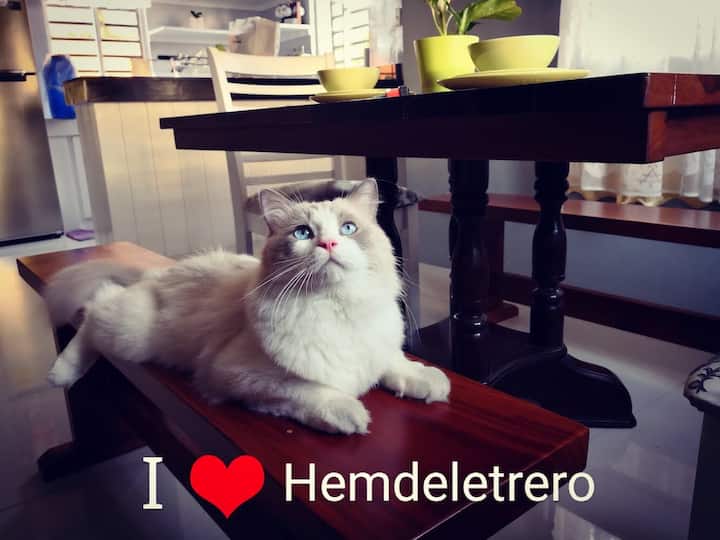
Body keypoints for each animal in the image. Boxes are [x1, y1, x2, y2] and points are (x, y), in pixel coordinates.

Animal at [45, 179, 450, 434]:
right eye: (303, 234)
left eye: (348, 228)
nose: (329, 245)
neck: (337, 308)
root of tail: (159, 272)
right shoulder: (237, 375)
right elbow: (307, 389)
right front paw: (348, 413)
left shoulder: (377, 349)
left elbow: (395, 364)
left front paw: (428, 381)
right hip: (130, 335)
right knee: (95, 307)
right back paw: (60, 373)